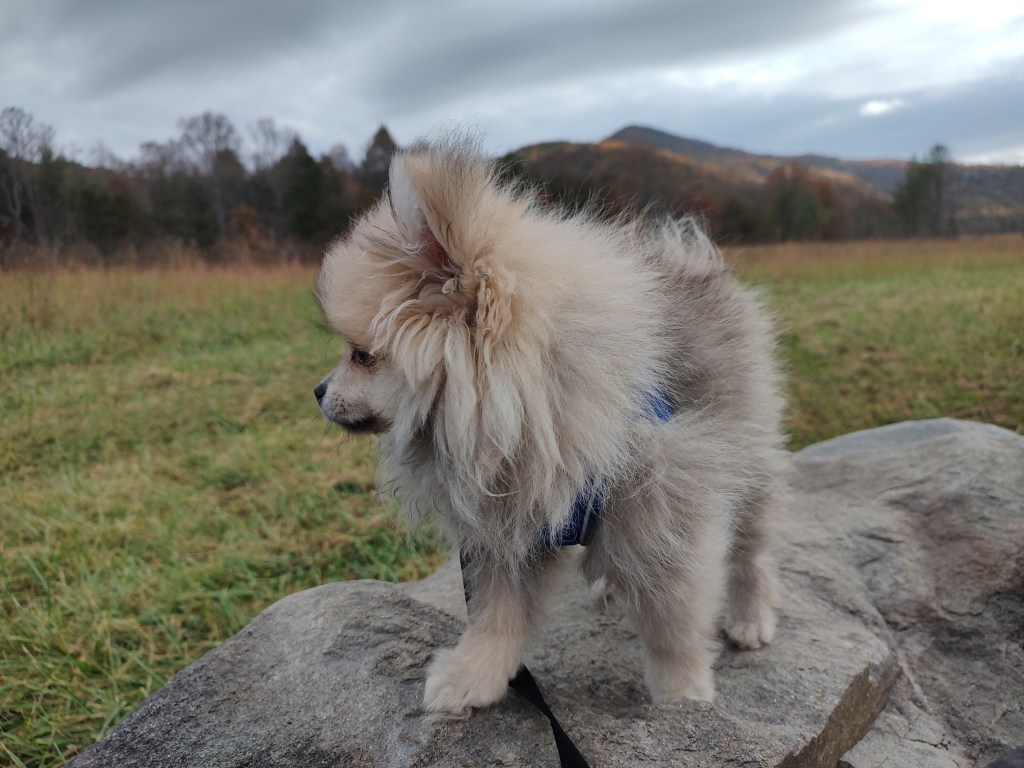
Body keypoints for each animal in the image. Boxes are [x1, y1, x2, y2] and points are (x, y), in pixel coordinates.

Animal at [314, 136, 787, 716]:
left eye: (360, 356)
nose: (318, 391)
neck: (537, 397)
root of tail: (690, 256)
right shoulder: (506, 525)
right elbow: (499, 612)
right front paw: (474, 675)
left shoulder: (668, 510)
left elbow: (672, 622)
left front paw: (682, 696)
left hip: (745, 451)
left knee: (751, 550)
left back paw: (751, 616)